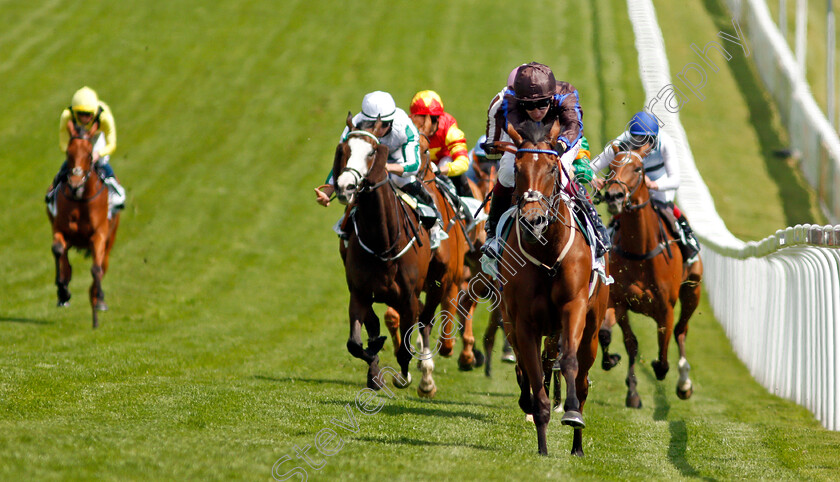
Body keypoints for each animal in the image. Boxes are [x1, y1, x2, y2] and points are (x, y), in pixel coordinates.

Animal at [47, 122, 120, 330]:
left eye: (89, 154)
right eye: (68, 153)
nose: (75, 184)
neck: (80, 199)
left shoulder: (99, 235)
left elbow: (96, 270)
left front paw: (98, 300)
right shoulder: (60, 229)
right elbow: (58, 251)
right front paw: (63, 291)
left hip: (110, 239)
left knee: (102, 265)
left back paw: (97, 302)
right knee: (64, 258)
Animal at [498, 120, 612, 456]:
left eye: (551, 168)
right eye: (518, 167)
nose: (533, 221)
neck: (548, 253)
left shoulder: (573, 308)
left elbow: (569, 362)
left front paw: (572, 413)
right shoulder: (523, 322)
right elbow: (533, 374)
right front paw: (542, 444)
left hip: (591, 327)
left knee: (582, 378)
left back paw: (577, 445)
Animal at [596, 142, 704, 406]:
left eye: (638, 168)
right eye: (611, 166)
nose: (614, 196)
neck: (640, 251)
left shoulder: (665, 309)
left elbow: (663, 354)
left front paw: (660, 370)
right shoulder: (619, 301)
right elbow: (621, 340)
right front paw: (631, 389)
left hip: (692, 291)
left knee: (681, 330)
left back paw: (684, 383)